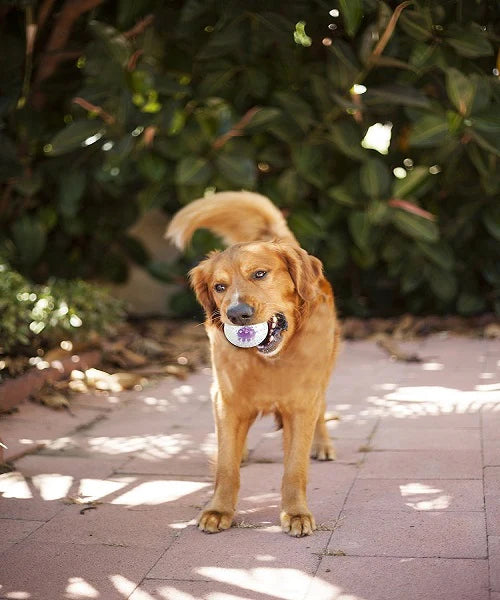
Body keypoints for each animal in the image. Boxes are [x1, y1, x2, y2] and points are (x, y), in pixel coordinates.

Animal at [167, 190, 340, 536]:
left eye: (260, 274)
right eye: (219, 287)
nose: (237, 313)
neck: (270, 361)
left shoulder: (302, 403)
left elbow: (295, 468)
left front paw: (296, 513)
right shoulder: (226, 400)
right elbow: (226, 467)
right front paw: (219, 509)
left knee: (322, 409)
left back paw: (322, 444)